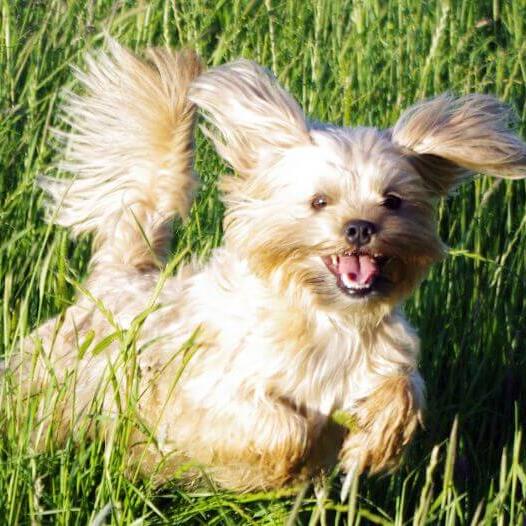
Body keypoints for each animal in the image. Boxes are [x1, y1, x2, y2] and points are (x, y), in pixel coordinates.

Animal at [4, 40, 526, 490]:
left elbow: (401, 392)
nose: (360, 227)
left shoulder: (382, 362)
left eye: (393, 201)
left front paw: (370, 445)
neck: (327, 319)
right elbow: (278, 424)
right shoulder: (207, 388)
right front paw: (287, 462)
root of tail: (121, 275)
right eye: (319, 201)